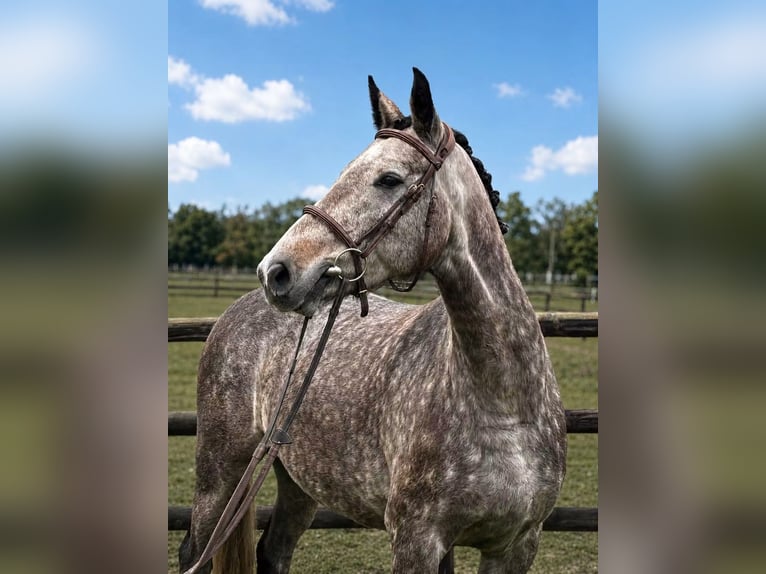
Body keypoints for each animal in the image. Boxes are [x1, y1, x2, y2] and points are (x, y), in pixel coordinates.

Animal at [179, 68, 567, 574]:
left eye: (389, 179)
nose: (275, 271)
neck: (504, 405)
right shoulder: (416, 540)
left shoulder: (517, 543)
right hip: (220, 471)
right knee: (195, 550)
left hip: (296, 481)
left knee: (274, 550)